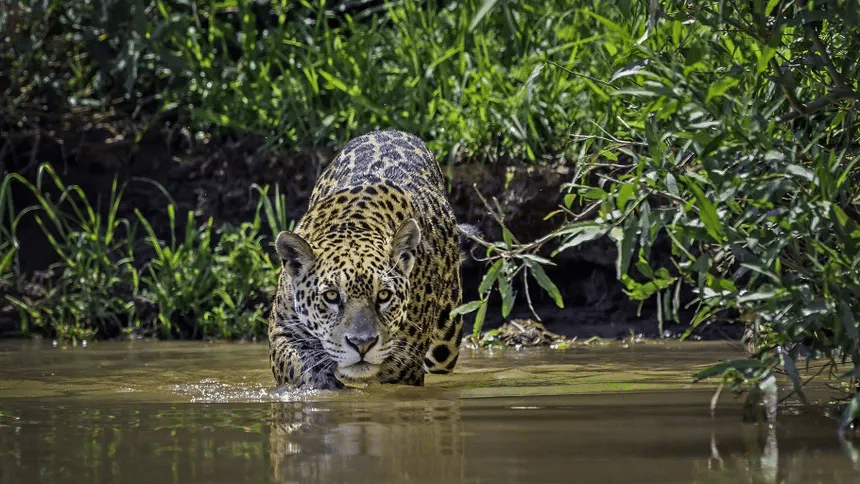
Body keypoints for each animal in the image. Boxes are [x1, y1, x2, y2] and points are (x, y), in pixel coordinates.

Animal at [268, 130, 464, 390]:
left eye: (384, 295)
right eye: (331, 296)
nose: (362, 344)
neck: (353, 225)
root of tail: (389, 131)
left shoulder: (405, 362)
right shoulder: (282, 331)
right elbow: (300, 365)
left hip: (446, 340)